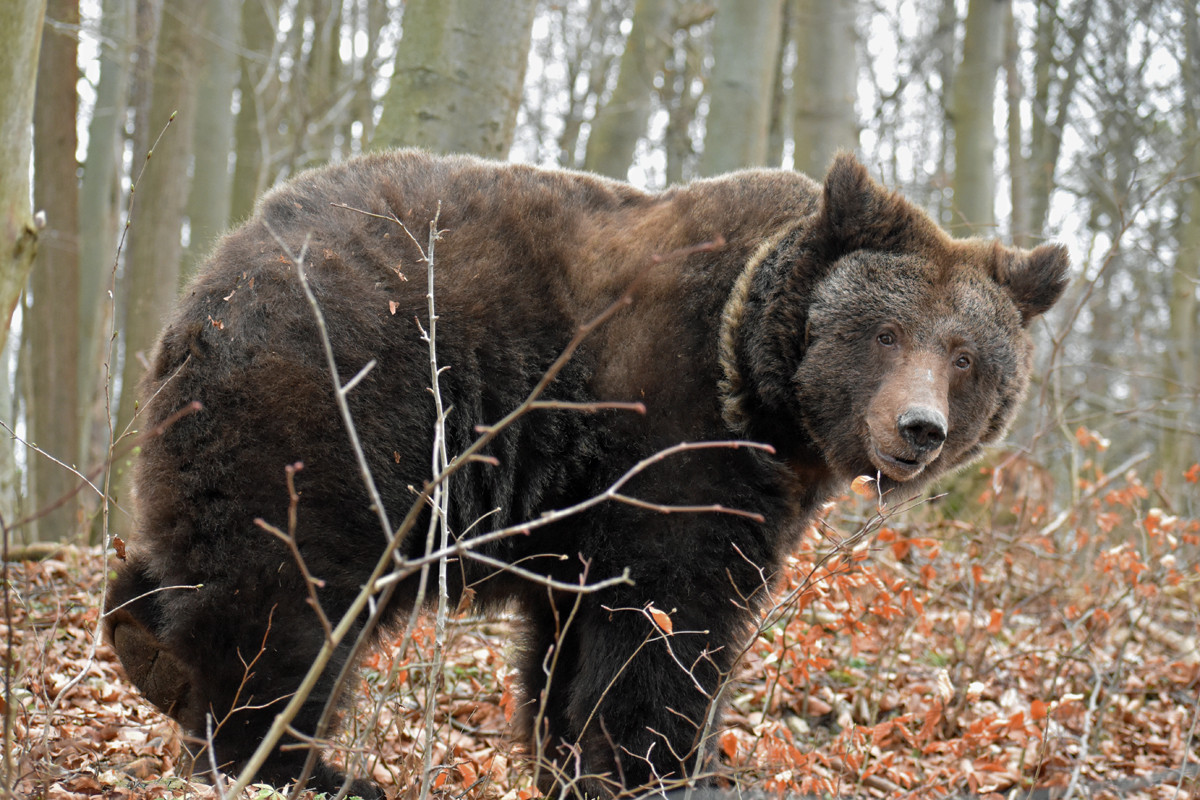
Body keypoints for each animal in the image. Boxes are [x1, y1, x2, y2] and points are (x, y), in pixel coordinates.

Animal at [105, 151, 1070, 800]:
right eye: (884, 333)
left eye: (966, 356)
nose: (918, 429)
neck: (761, 395)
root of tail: (216, 279)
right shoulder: (672, 438)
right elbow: (665, 622)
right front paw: (671, 770)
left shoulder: (585, 508)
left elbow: (571, 640)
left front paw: (571, 760)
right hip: (347, 409)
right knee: (291, 585)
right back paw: (294, 760)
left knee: (198, 553)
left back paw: (148, 650)